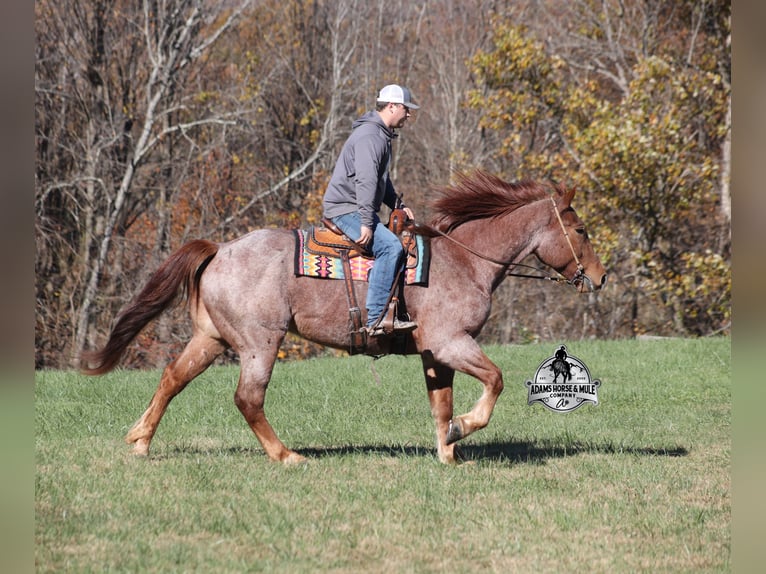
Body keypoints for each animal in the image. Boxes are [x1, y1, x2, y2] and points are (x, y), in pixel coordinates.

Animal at [81, 170, 607, 465]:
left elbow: (440, 405)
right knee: (248, 398)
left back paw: (141, 440)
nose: (600, 277)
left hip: (211, 339)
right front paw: (462, 430)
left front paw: (448, 453)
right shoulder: (452, 342)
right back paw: (286, 456)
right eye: (581, 229)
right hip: (259, 343)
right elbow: (494, 381)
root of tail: (221, 248)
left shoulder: (435, 353)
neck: (463, 260)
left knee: (173, 377)